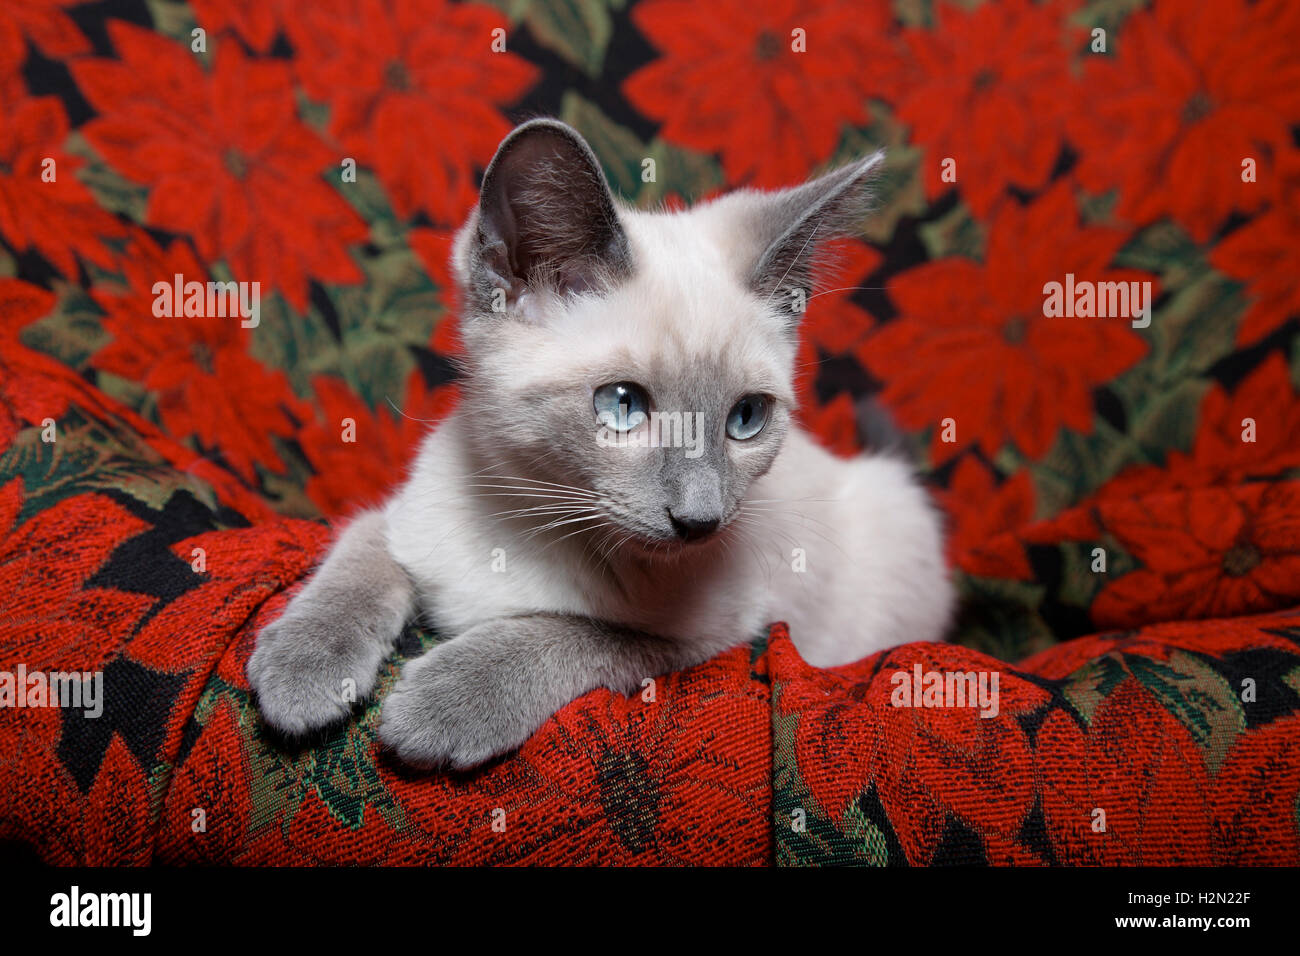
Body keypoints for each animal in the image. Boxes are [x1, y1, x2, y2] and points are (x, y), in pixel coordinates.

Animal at [245, 117, 956, 770]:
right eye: (622, 405)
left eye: (746, 418)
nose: (701, 521)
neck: (529, 518)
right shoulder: (403, 521)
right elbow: (357, 561)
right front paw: (299, 676)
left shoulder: (716, 638)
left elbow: (571, 632)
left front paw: (440, 706)